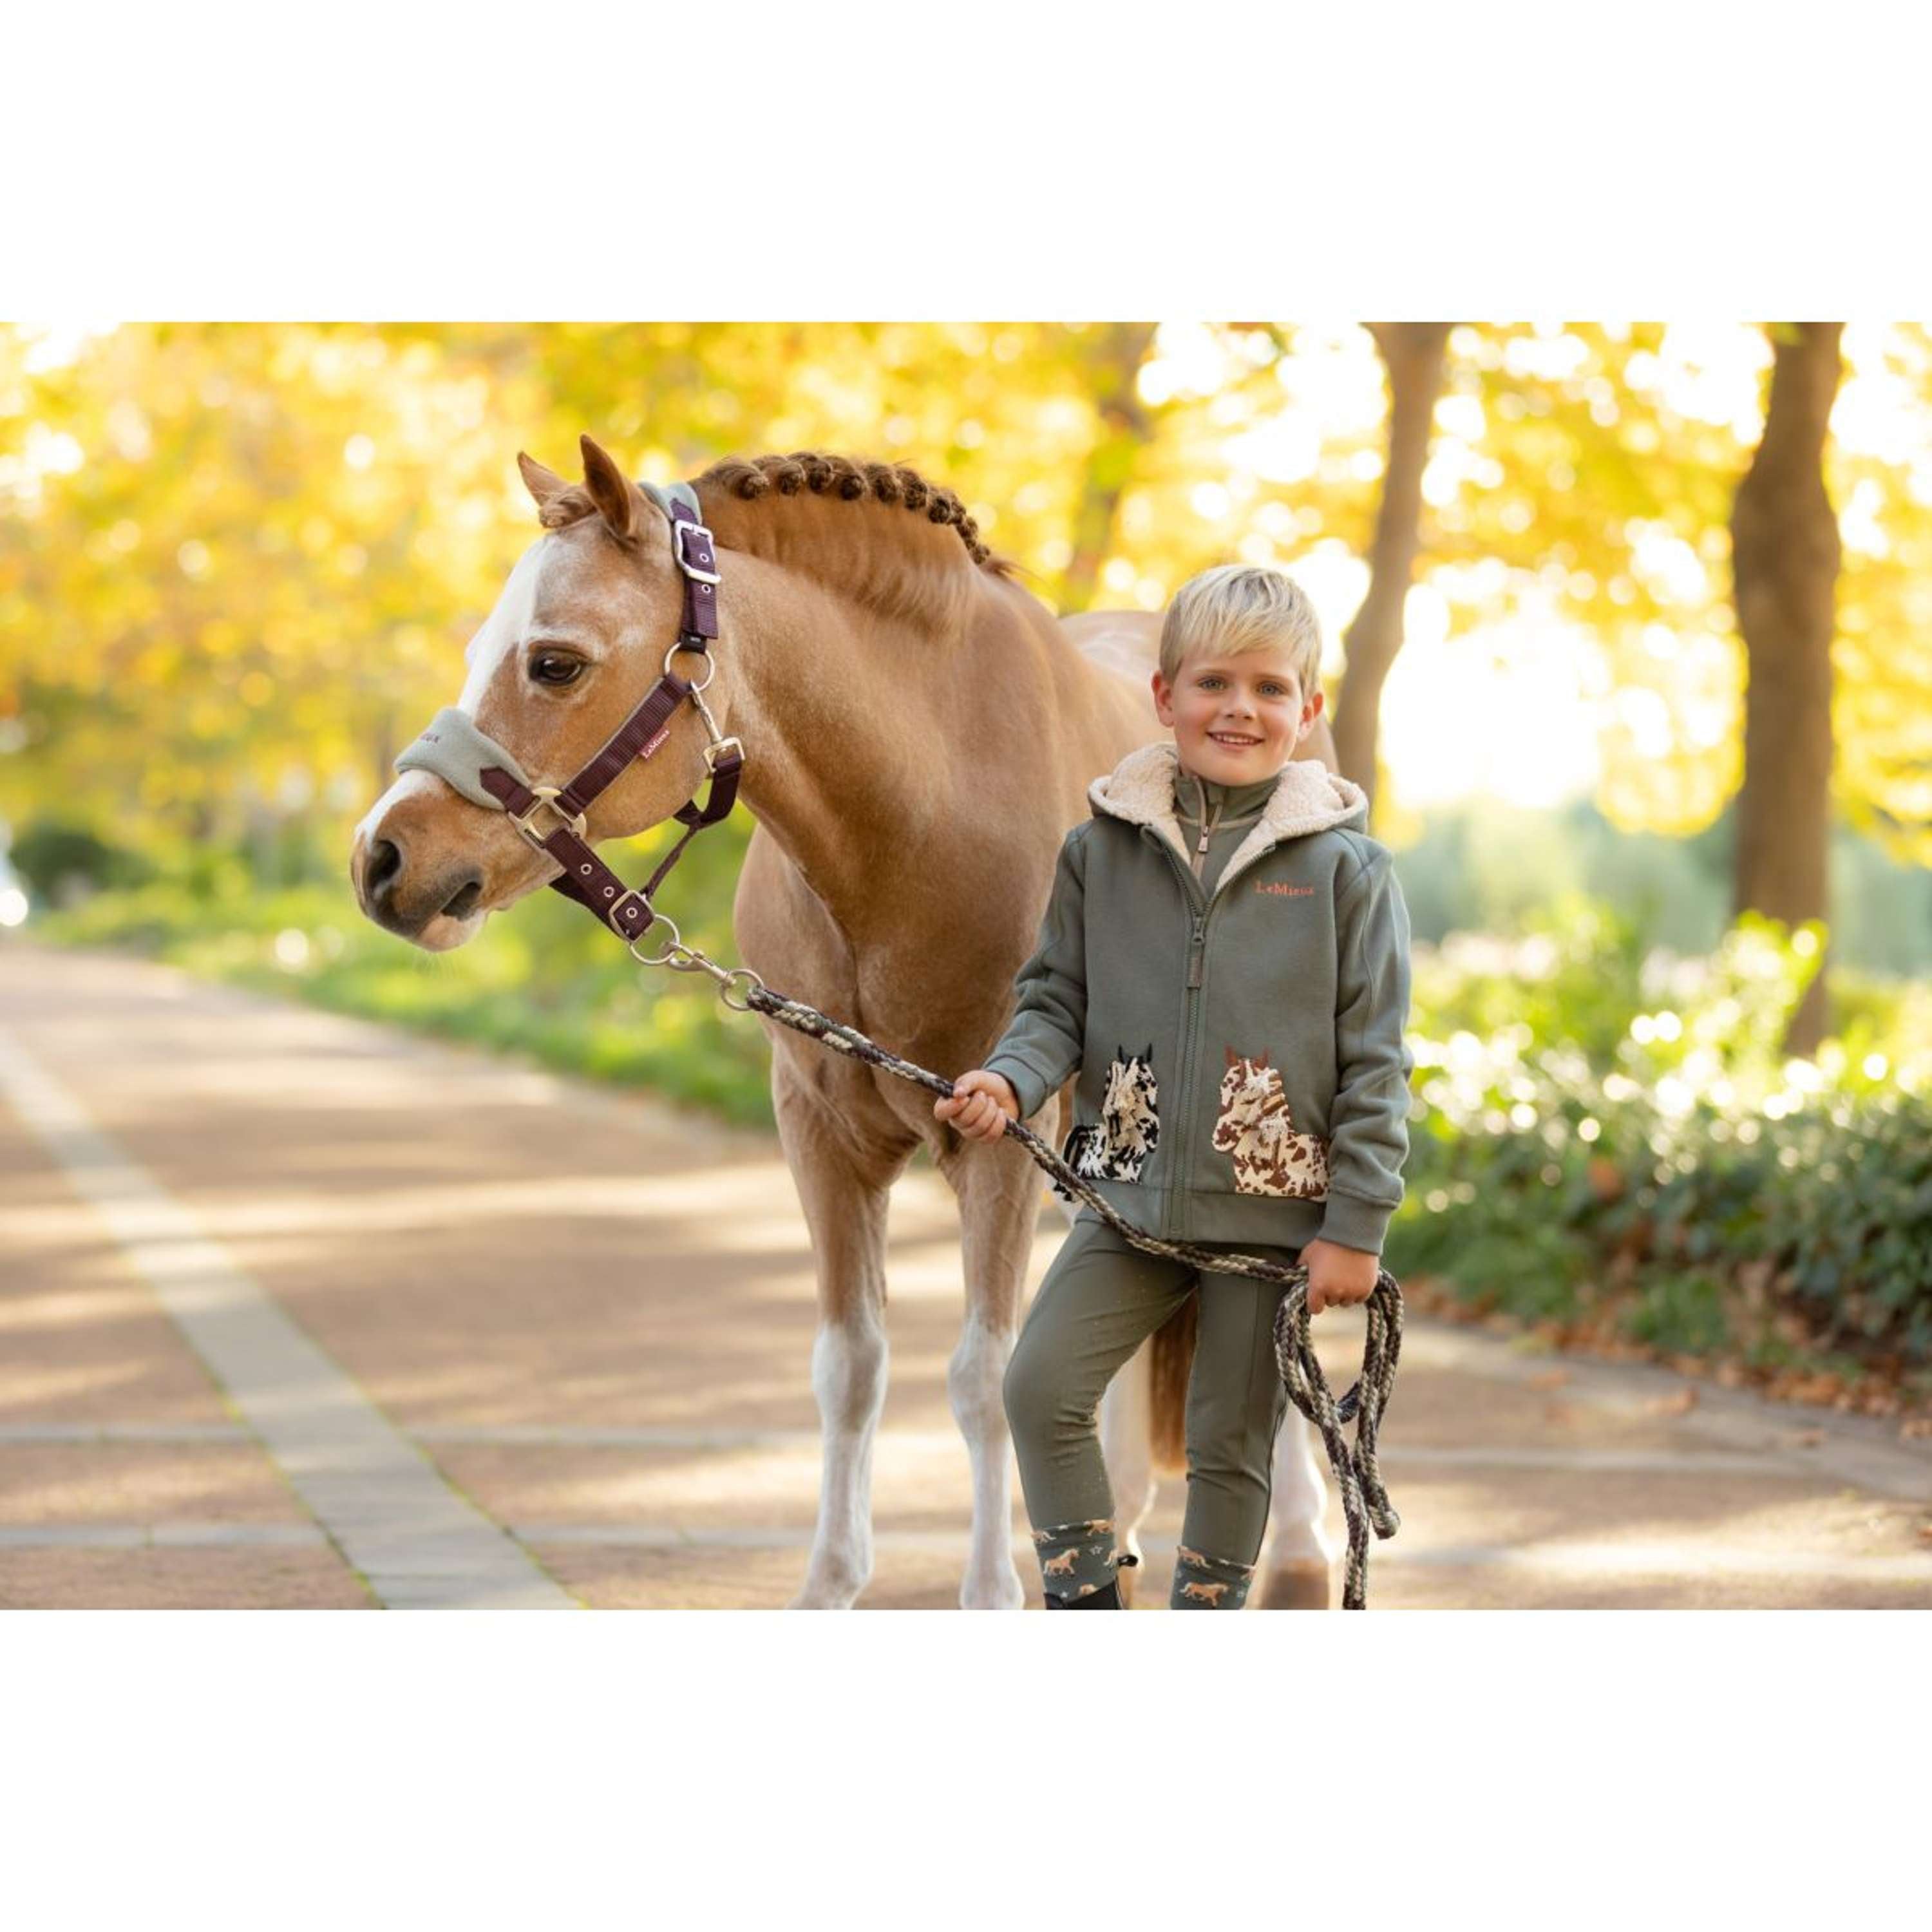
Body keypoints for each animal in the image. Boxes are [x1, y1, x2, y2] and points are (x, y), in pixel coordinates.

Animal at [351, 436, 1341, 1609]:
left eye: (554, 662)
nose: (383, 862)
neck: (919, 820)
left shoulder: (998, 1140)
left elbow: (982, 1375)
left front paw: (992, 1594)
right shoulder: (822, 1133)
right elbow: (851, 1366)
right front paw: (832, 1582)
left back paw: (1299, 1553)